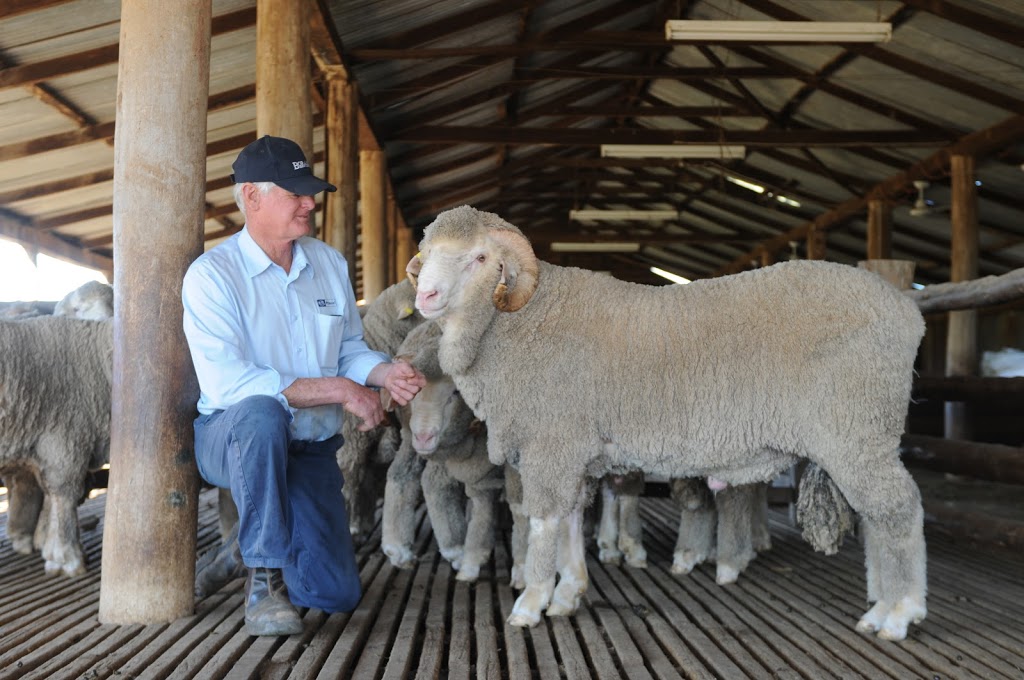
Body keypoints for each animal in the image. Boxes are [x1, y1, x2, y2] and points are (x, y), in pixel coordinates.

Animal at [405, 204, 929, 639]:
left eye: (479, 257)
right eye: (426, 254)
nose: (426, 295)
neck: (518, 323)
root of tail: (908, 312)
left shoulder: (551, 442)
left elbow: (543, 524)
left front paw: (530, 603)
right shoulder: (575, 451)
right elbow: (572, 520)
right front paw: (568, 593)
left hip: (856, 427)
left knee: (898, 510)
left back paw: (900, 613)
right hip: (864, 432)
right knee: (878, 516)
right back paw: (879, 608)